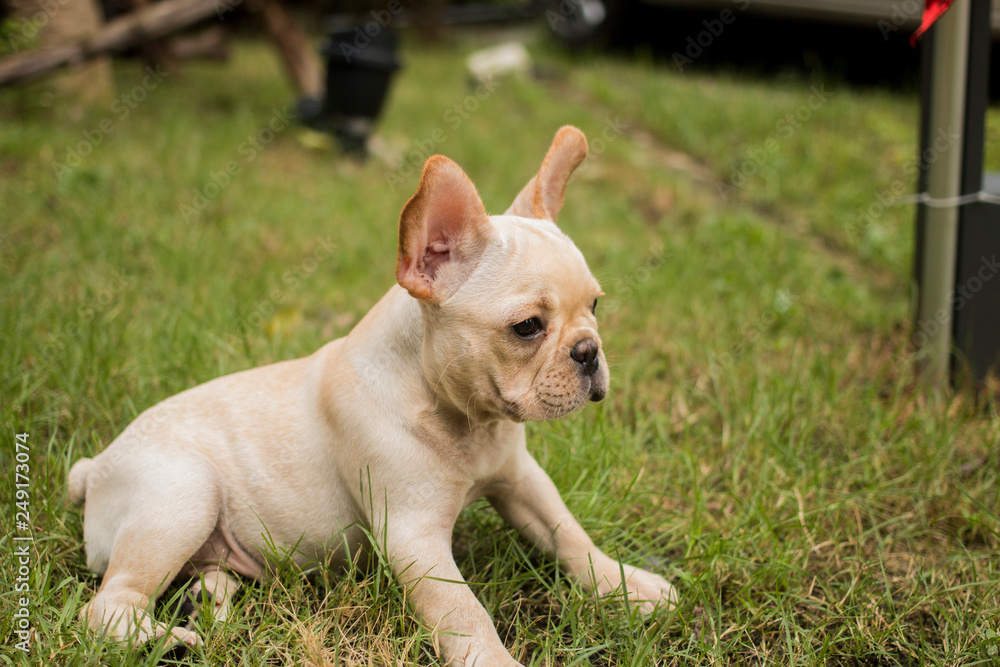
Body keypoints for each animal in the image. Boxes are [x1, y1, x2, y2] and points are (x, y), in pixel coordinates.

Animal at [68, 126, 680, 667]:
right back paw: (166, 641)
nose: (588, 351)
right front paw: (495, 661)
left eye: (595, 306)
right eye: (527, 327)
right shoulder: (413, 537)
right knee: (107, 607)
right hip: (183, 497)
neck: (460, 416)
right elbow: (463, 612)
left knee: (206, 578)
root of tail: (94, 468)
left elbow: (569, 535)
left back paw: (206, 607)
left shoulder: (522, 480)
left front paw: (628, 587)